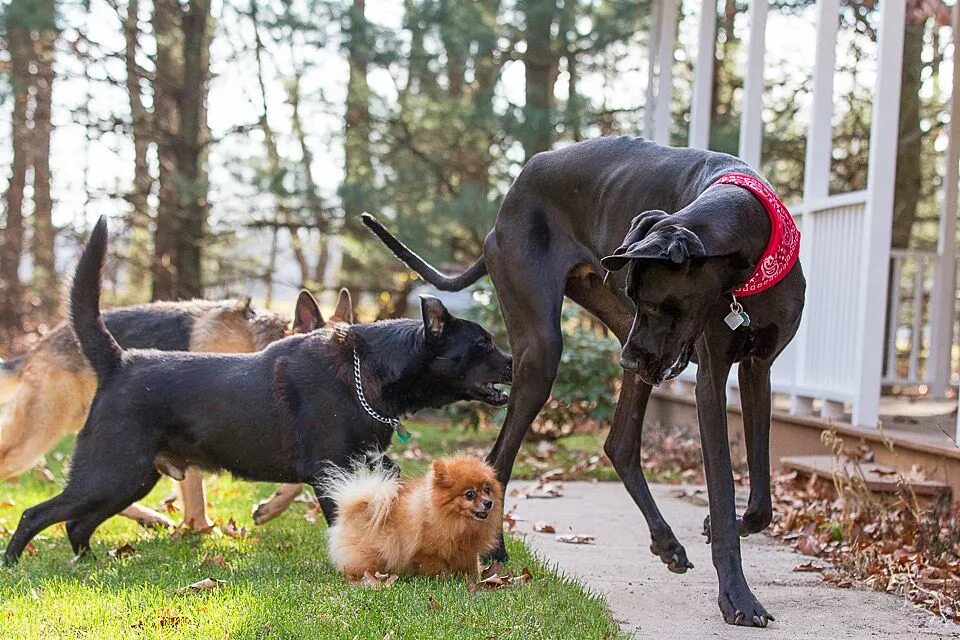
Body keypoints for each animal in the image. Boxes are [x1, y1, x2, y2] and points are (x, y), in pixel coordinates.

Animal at [3, 216, 512, 564]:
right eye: (483, 343)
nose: (513, 361)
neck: (368, 371)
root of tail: (120, 361)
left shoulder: (366, 464)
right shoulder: (329, 470)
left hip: (130, 478)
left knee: (77, 521)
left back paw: (88, 562)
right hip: (109, 469)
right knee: (37, 514)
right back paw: (14, 563)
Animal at [360, 136, 804, 624]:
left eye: (654, 303)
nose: (626, 362)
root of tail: (506, 206)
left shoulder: (758, 369)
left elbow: (760, 500)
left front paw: (732, 528)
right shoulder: (710, 382)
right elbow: (723, 495)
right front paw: (738, 598)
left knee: (619, 444)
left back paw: (666, 542)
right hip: (546, 349)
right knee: (500, 456)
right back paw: (494, 551)